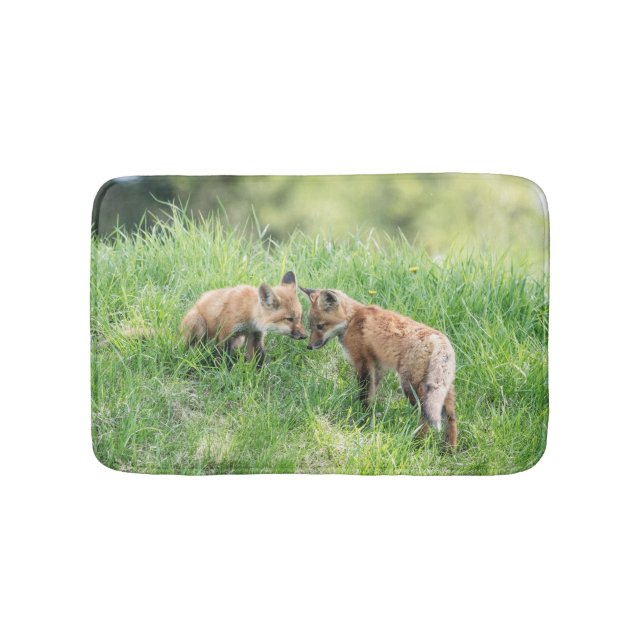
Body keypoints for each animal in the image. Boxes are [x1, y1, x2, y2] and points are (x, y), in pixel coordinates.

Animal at [300, 287, 458, 448]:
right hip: (442, 389)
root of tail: (439, 339)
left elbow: (364, 394)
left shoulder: (363, 363)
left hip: (410, 386)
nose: (309, 346)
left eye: (320, 326)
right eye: (311, 326)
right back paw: (449, 448)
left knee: (424, 415)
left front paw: (361, 416)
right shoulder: (378, 367)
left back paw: (418, 443)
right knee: (451, 417)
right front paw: (368, 414)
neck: (351, 320)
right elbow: (371, 393)